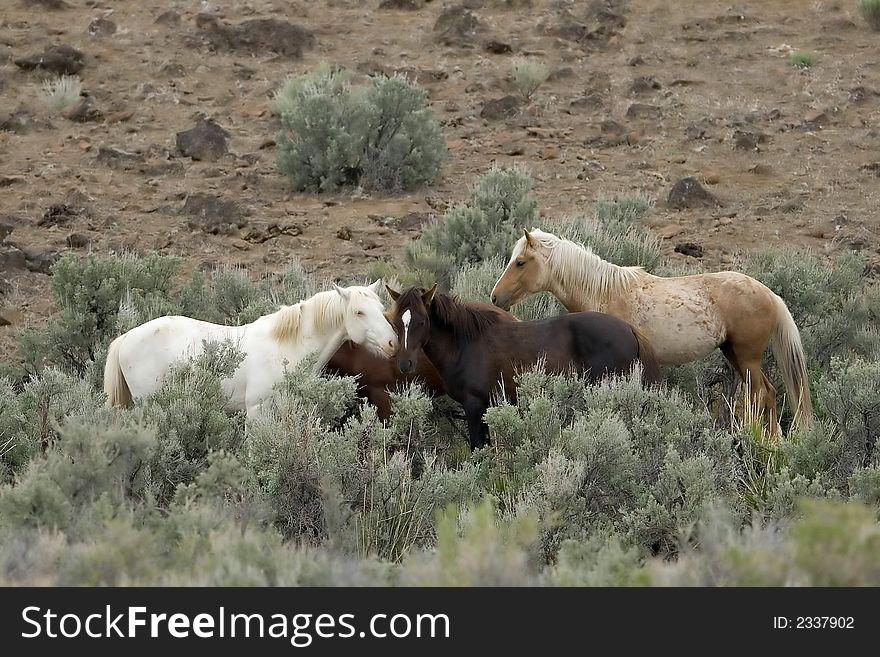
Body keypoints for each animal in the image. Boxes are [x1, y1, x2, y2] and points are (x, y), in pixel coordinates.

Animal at [101, 280, 398, 416]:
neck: (286, 349)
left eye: (380, 307)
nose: (393, 342)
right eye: (359, 312)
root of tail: (125, 338)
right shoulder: (256, 410)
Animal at [384, 284, 660, 448]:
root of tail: (629, 329)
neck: (465, 343)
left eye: (421, 321)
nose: (405, 363)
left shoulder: (473, 405)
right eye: (396, 321)